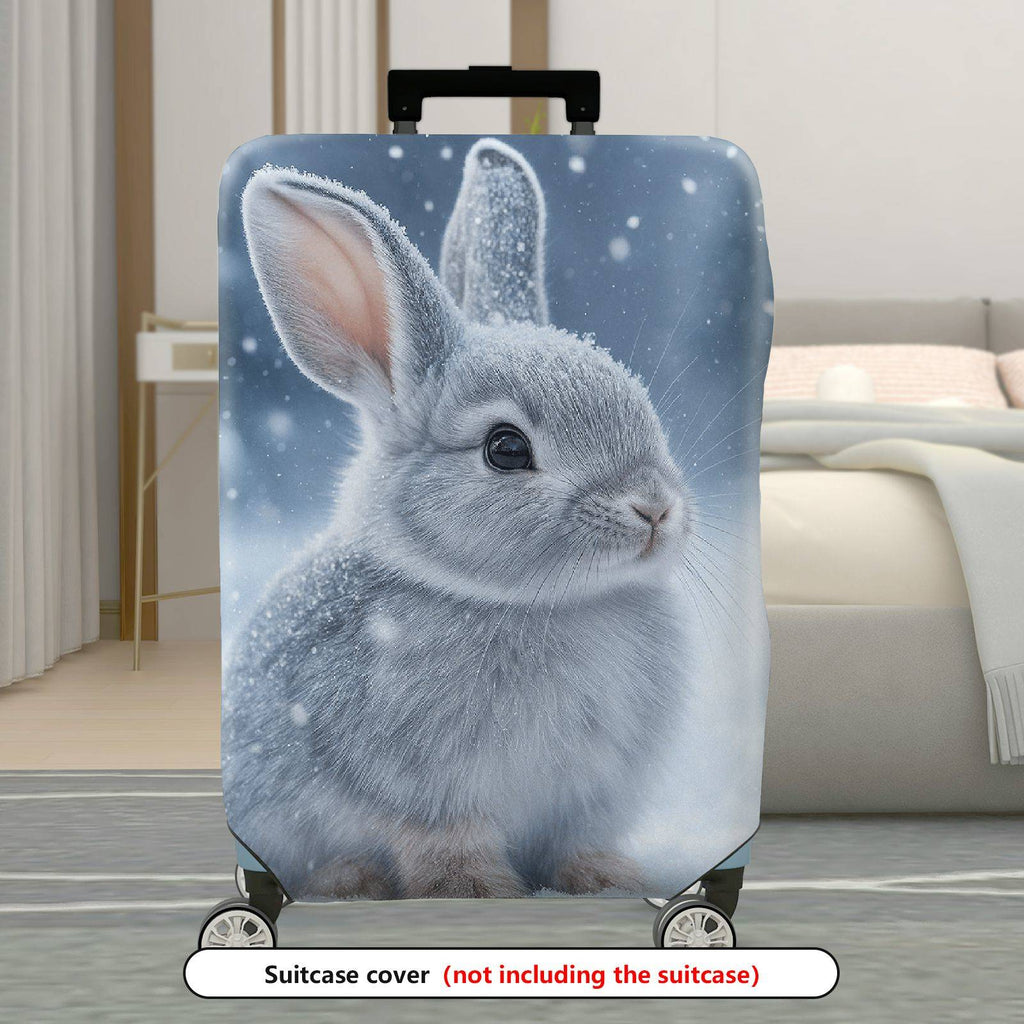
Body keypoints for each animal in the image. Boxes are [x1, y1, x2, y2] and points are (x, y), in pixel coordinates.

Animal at [223, 140, 693, 901]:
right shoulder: (415, 788)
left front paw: (608, 880)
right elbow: (442, 844)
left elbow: (579, 842)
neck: (542, 603)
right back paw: (351, 880)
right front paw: (479, 892)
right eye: (506, 448)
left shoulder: (589, 797)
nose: (653, 507)